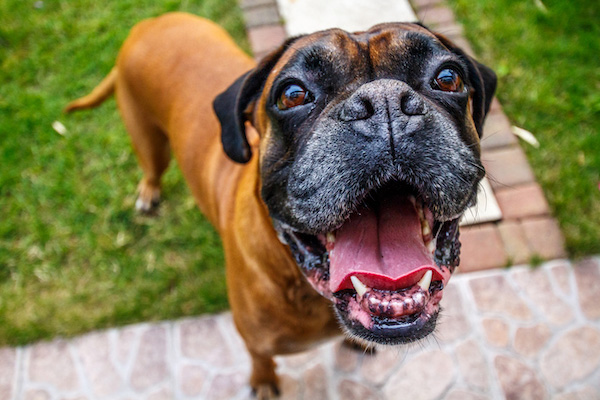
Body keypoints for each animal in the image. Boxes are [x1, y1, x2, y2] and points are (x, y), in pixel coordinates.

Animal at [67, 11, 496, 396]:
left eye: (448, 77)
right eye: (293, 94)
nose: (385, 102)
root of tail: (147, 25)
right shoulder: (254, 341)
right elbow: (261, 360)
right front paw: (264, 382)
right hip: (149, 142)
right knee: (152, 169)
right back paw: (148, 194)